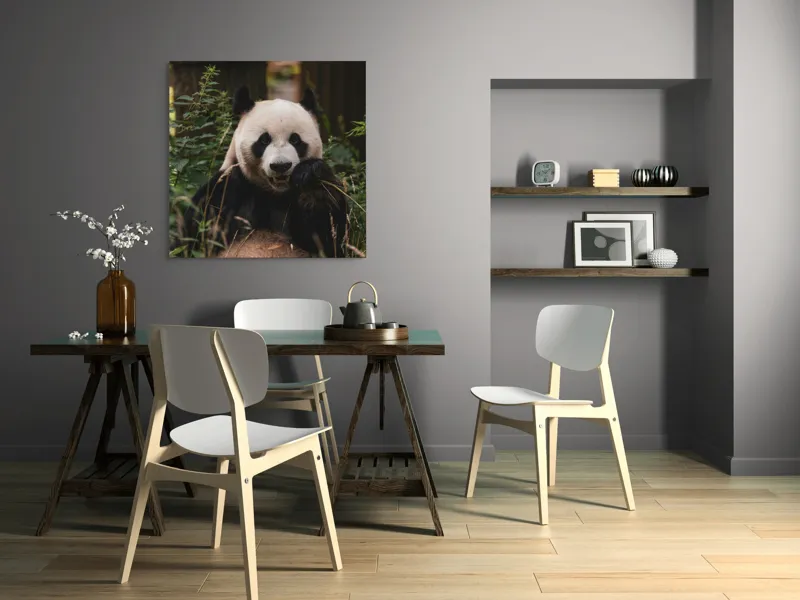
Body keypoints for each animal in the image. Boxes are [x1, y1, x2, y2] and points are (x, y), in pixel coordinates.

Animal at [181, 86, 349, 258]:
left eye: (295, 140)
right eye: (264, 140)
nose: (281, 166)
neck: (273, 194)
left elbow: (329, 238)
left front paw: (310, 177)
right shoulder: (226, 189)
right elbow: (196, 235)